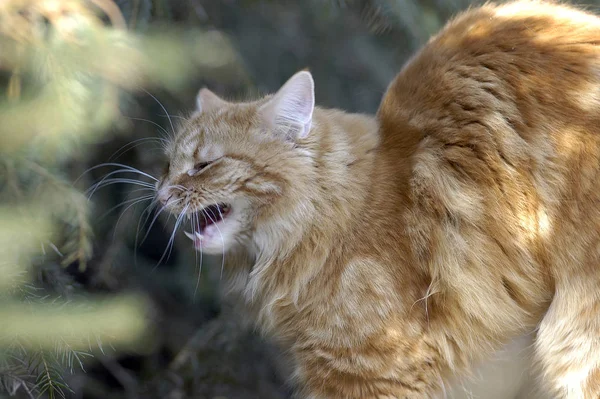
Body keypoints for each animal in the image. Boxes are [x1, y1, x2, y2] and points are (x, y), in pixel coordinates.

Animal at [157, 1, 600, 398]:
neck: (338, 219)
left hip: (575, 343)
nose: (160, 193)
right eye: (168, 164)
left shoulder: (376, 369)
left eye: (203, 165)